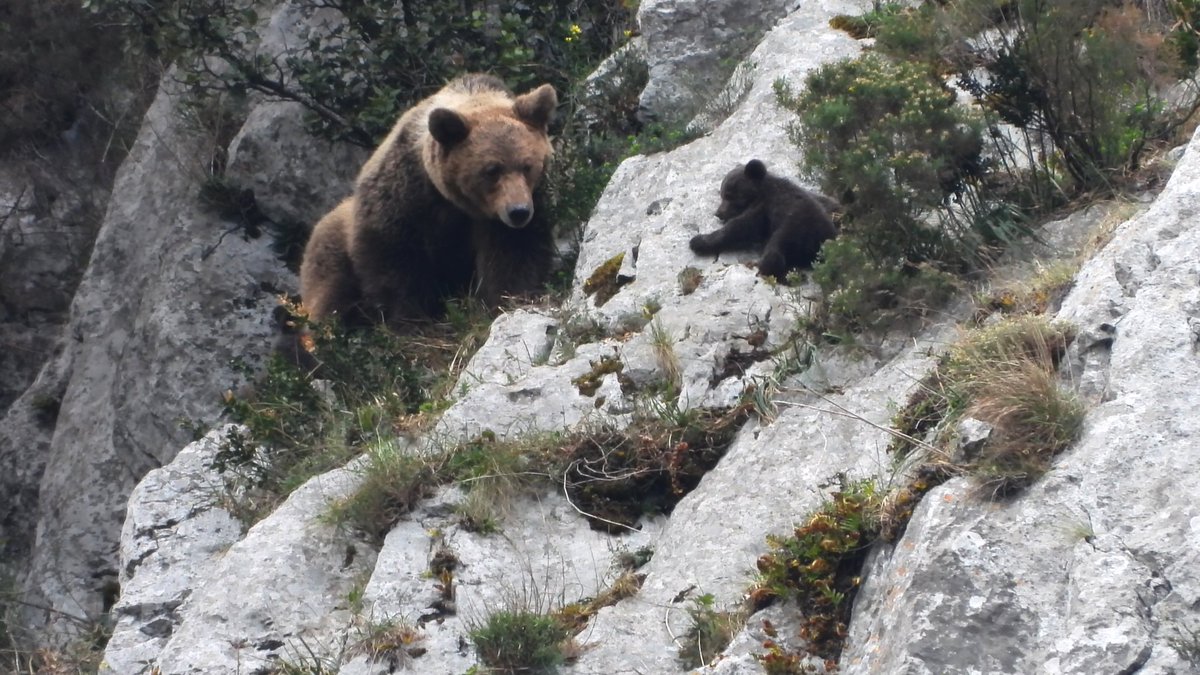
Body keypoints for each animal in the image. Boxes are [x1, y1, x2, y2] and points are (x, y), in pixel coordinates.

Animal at [299, 73, 558, 329]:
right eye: (492, 170)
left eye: (527, 166)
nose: (518, 212)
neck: (454, 202)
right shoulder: (404, 198)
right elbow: (397, 263)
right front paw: (411, 319)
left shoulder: (509, 214)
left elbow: (514, 253)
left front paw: (510, 299)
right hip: (332, 254)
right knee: (333, 299)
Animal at [689, 159, 838, 279]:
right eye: (722, 194)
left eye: (729, 195)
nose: (718, 213)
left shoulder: (764, 207)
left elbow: (740, 228)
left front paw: (698, 241)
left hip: (793, 231)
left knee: (774, 253)